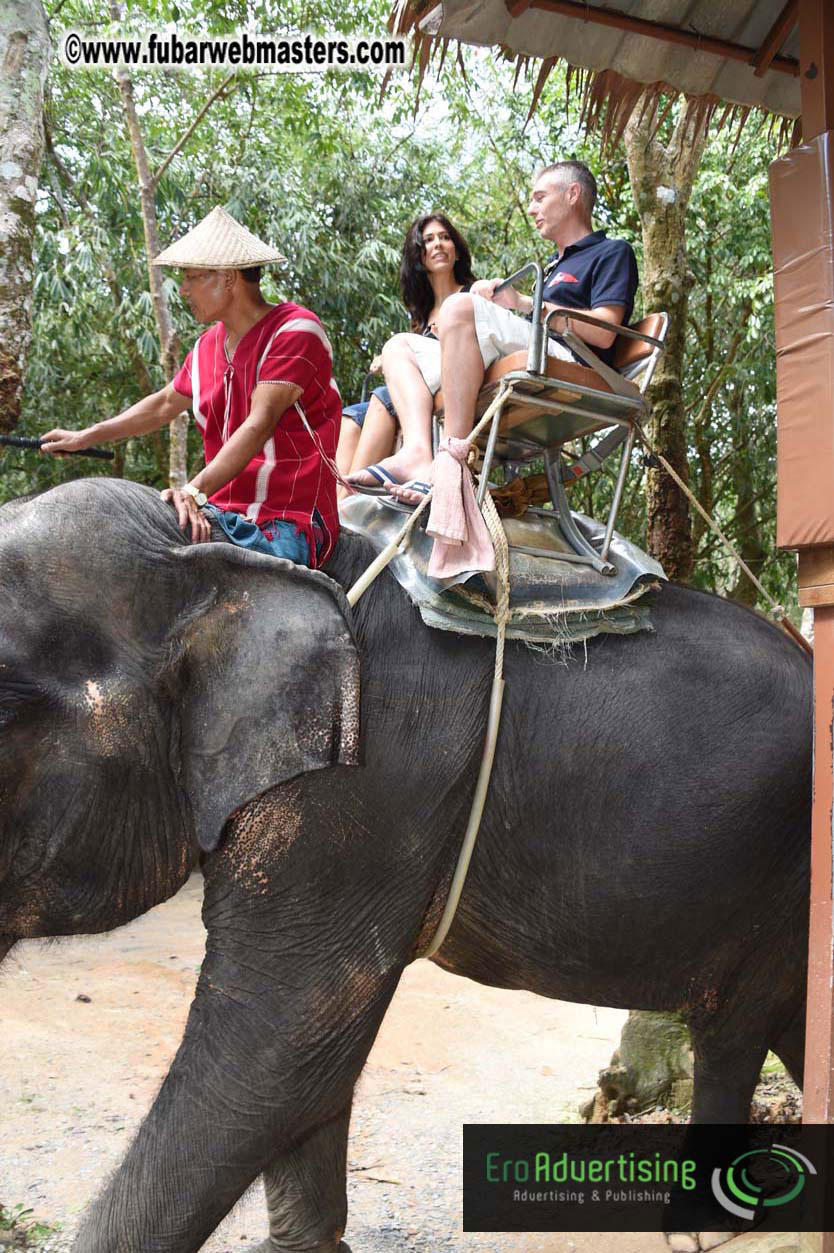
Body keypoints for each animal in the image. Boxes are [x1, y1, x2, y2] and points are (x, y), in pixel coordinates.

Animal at [0, 477, 811, 1253]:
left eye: (4, 720)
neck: (224, 557)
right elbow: (301, 1061)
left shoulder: (362, 791)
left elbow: (279, 1042)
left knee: (735, 1024)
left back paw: (700, 1227)